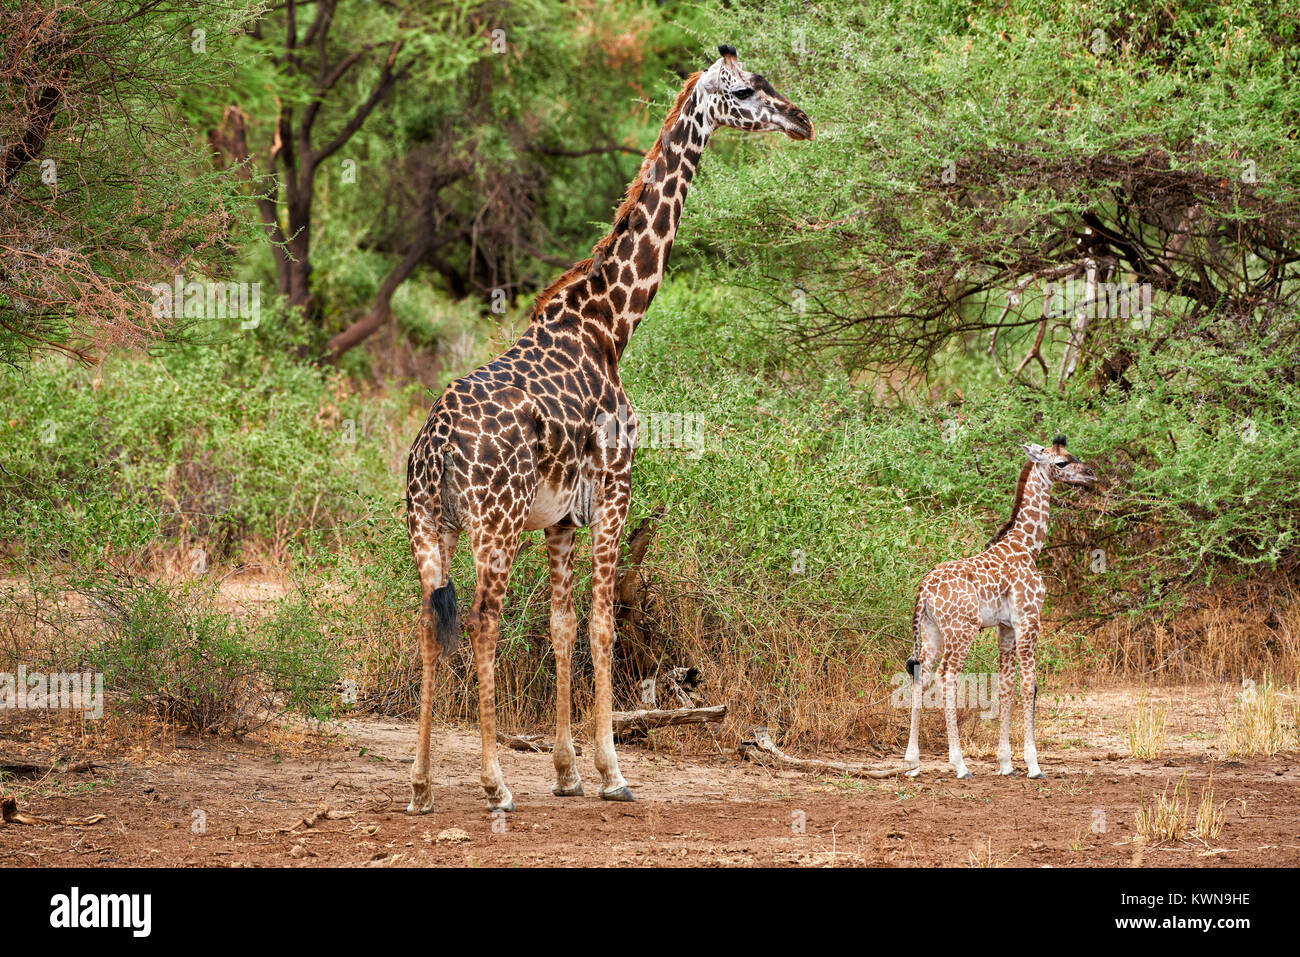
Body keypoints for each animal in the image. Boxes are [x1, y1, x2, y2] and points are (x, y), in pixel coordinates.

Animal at [403, 46, 813, 813]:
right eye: (748, 90)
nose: (801, 120)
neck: (611, 323)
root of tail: (435, 445)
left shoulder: (562, 516)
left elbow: (562, 628)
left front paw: (567, 772)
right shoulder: (616, 488)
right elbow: (602, 624)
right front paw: (612, 772)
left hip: (427, 525)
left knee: (429, 622)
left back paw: (419, 785)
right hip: (494, 523)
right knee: (481, 622)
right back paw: (494, 783)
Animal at [903, 436, 1097, 780]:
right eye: (1061, 463)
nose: (1090, 475)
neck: (1029, 545)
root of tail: (924, 590)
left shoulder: (1006, 626)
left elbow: (1006, 685)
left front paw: (1006, 763)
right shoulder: (1029, 619)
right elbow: (1030, 684)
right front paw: (1033, 765)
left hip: (931, 632)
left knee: (920, 674)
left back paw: (913, 763)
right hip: (961, 630)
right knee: (947, 676)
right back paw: (960, 765)